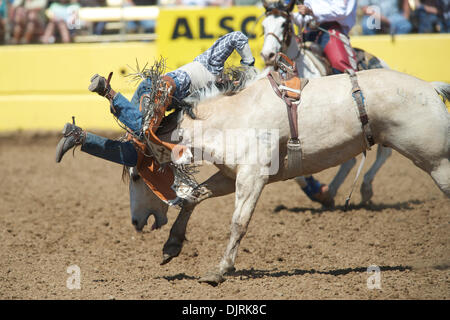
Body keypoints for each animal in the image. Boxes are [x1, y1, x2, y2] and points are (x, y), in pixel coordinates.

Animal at [128, 68, 448, 284]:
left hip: (438, 163)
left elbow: (238, 222)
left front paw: (219, 270)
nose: (135, 222)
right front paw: (171, 246)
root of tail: (432, 89)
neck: (233, 117)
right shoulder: (231, 176)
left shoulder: (252, 177)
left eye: (136, 177)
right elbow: (194, 197)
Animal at [260, 0, 394, 205]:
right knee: (351, 160)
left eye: (284, 24)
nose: (267, 55)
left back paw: (365, 188)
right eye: (263, 25)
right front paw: (318, 191)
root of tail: (381, 62)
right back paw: (331, 192)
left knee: (384, 153)